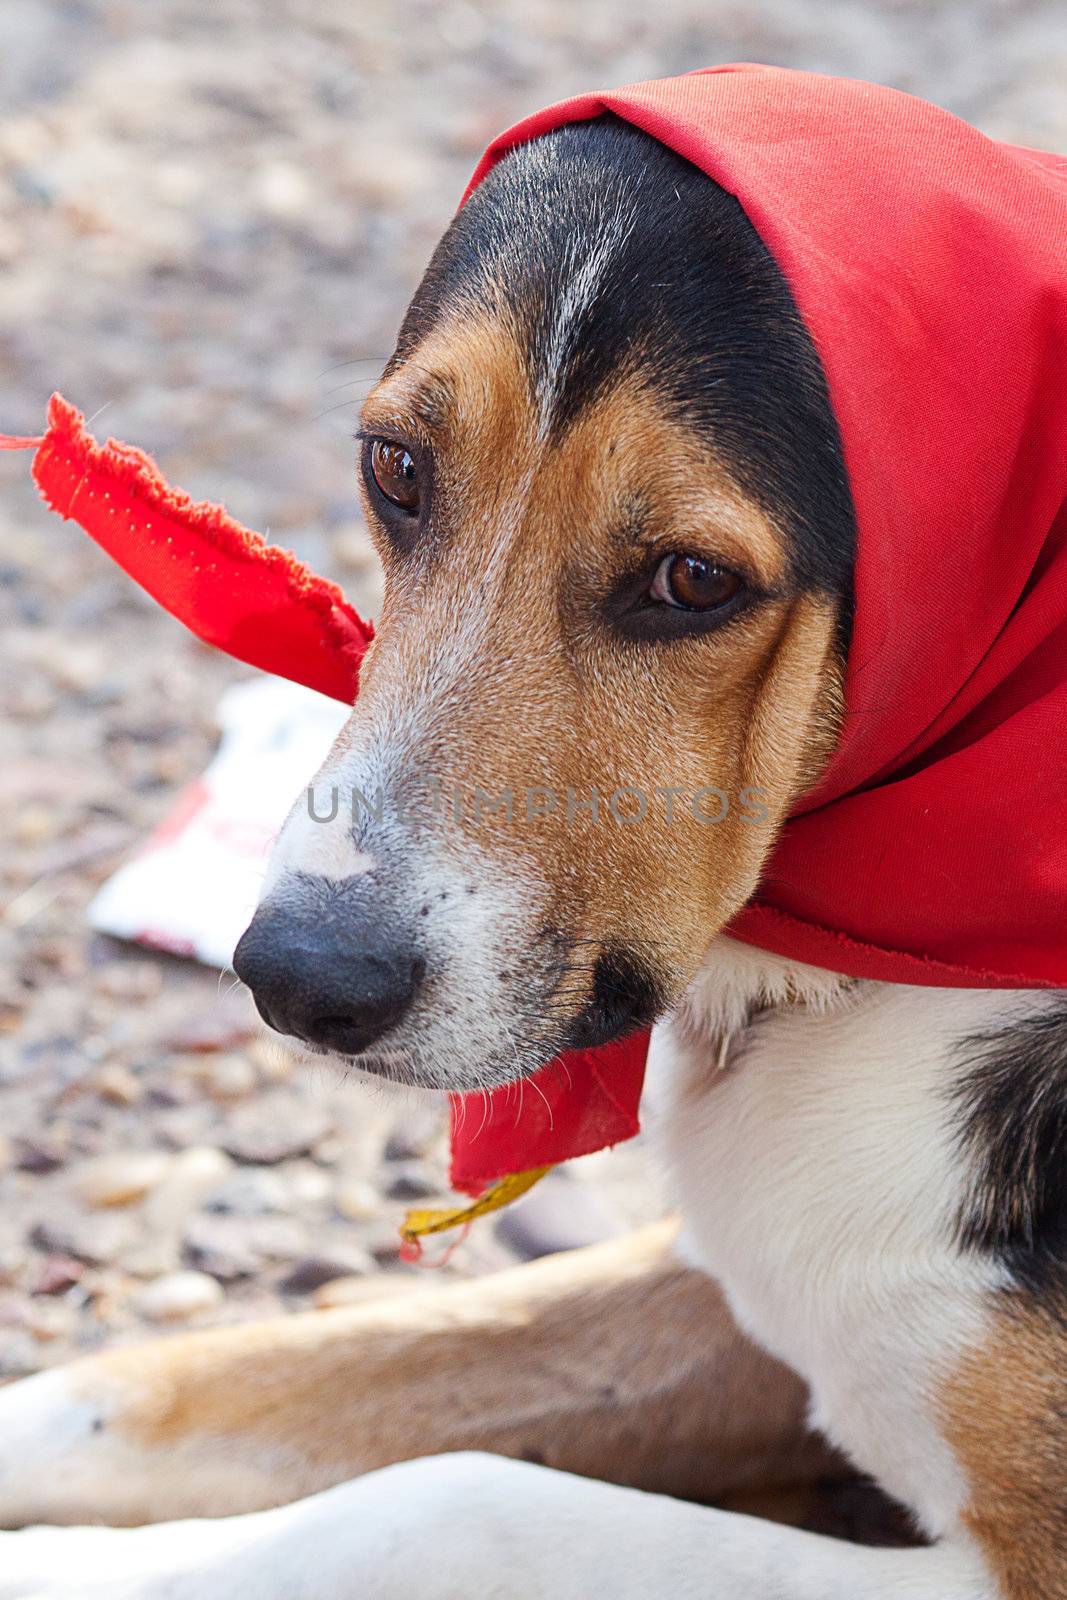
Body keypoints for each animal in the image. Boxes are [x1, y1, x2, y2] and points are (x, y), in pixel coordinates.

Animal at [2, 68, 1067, 1600]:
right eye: (394, 468)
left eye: (691, 581)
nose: (297, 977)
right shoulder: (738, 1285)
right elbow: (184, 1380)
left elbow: (450, 1498)